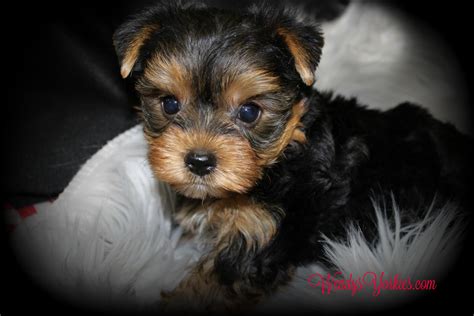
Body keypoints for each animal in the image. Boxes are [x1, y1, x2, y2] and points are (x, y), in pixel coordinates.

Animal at [114, 0, 470, 314]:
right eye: (169, 104)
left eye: (249, 112)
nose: (199, 161)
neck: (281, 155)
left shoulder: (262, 234)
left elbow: (214, 281)